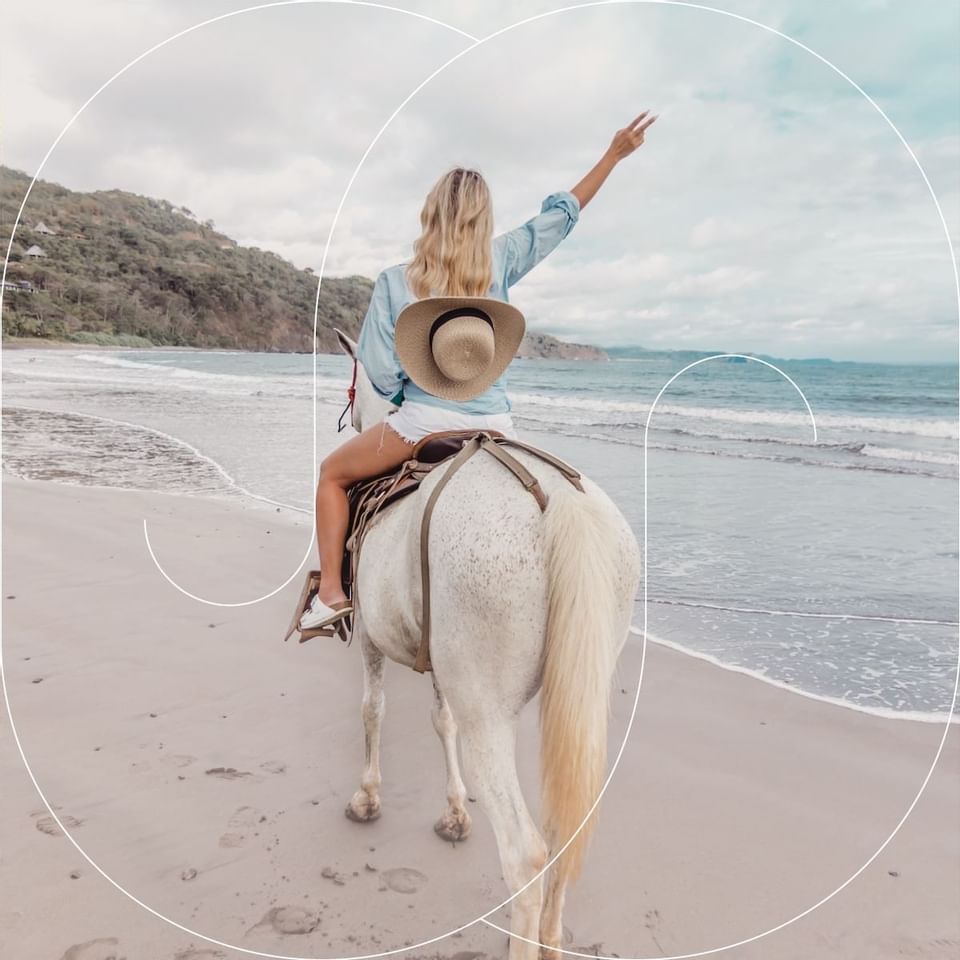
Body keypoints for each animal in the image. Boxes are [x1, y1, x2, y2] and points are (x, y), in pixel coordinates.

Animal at [334, 332, 640, 960]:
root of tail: (561, 503)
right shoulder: (438, 660)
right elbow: (440, 721)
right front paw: (454, 813)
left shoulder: (372, 637)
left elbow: (373, 710)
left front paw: (367, 799)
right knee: (563, 836)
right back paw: (551, 940)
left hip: (489, 710)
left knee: (524, 854)